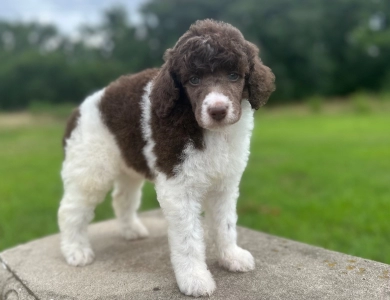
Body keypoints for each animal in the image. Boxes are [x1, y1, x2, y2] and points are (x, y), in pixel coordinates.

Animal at [59, 19, 276, 298]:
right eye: (193, 80)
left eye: (233, 76)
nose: (217, 110)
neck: (206, 130)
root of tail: (77, 111)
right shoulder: (178, 186)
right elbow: (188, 239)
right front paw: (195, 279)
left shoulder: (225, 183)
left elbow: (225, 224)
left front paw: (231, 257)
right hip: (90, 167)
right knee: (71, 208)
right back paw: (76, 250)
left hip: (128, 163)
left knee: (122, 198)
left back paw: (131, 230)